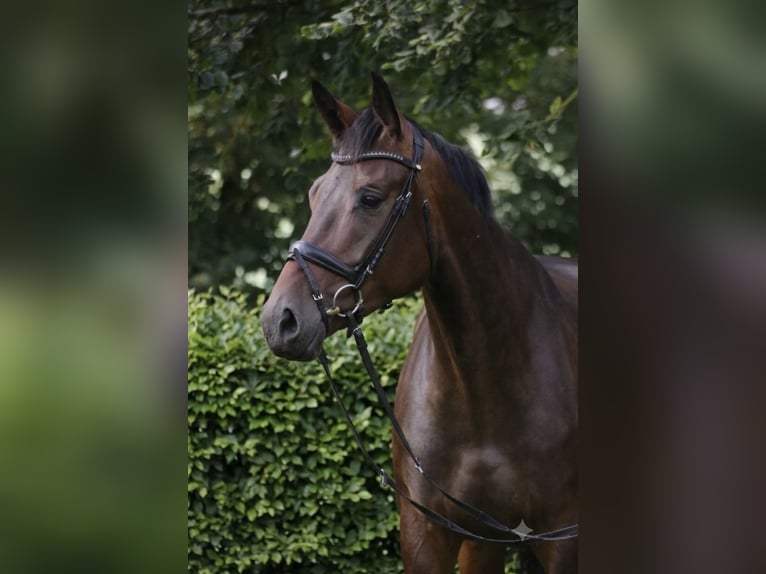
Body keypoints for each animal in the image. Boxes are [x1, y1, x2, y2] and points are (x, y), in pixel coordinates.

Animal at [261, 72, 578, 574]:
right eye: (314, 193)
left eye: (370, 198)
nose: (281, 320)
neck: (483, 386)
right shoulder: (429, 531)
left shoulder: (562, 540)